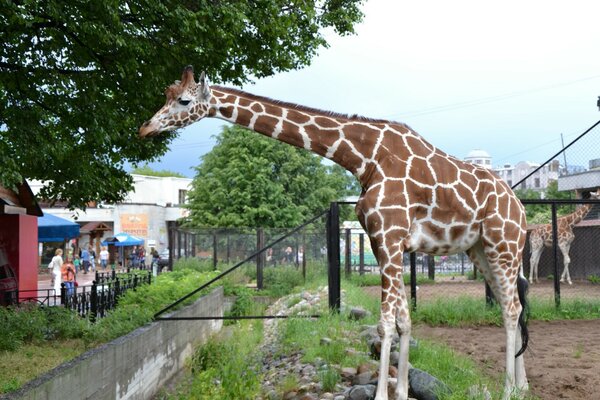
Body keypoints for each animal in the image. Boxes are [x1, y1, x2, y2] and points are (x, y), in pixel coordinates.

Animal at [139, 66, 528, 400]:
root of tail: (521, 209)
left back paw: (509, 390)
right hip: (479, 250)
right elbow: (404, 320)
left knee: (511, 308)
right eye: (167, 95)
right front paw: (402, 390)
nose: (145, 129)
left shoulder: (389, 237)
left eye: (183, 101)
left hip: (503, 245)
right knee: (514, 305)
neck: (364, 158)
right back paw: (522, 387)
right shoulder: (383, 241)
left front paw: (382, 394)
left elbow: (386, 324)